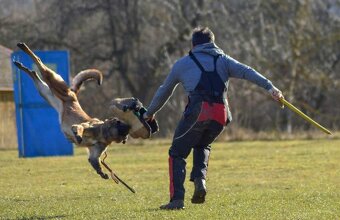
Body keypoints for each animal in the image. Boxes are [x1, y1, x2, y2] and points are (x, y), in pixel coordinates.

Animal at [13, 42, 130, 179]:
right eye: (123, 132)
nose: (125, 140)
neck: (103, 132)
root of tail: (73, 95)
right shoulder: (85, 126)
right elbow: (78, 128)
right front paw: (78, 135)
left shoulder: (95, 153)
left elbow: (93, 161)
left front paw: (102, 173)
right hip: (56, 85)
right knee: (39, 62)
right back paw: (23, 47)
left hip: (46, 93)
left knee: (34, 74)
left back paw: (21, 65)